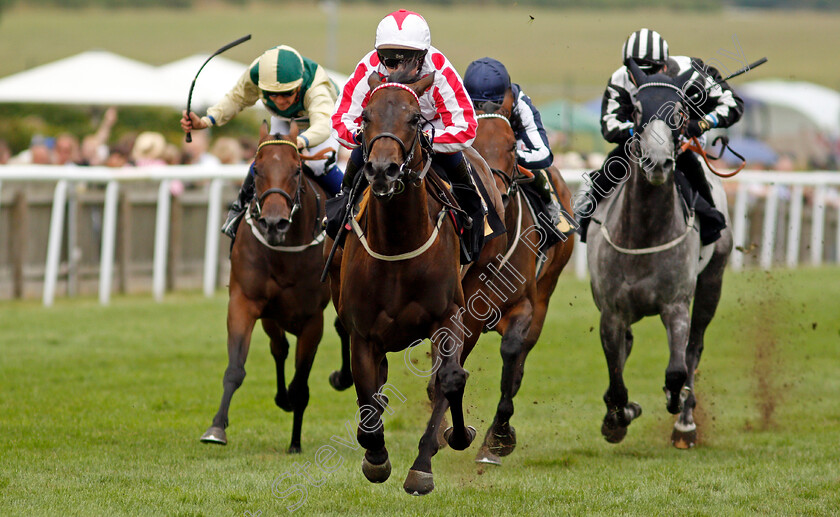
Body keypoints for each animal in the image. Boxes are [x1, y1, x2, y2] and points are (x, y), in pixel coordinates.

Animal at [202, 121, 336, 452]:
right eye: (257, 169)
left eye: (297, 170)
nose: (274, 223)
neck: (284, 252)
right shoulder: (245, 302)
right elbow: (235, 368)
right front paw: (216, 428)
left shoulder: (313, 319)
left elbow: (301, 383)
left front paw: (295, 441)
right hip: (272, 316)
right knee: (280, 348)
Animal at [326, 72, 486, 496]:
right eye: (365, 116)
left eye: (415, 119)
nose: (383, 170)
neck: (398, 242)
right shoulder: (363, 334)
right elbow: (367, 396)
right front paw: (375, 456)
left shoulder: (449, 317)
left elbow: (449, 380)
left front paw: (429, 460)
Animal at [462, 97, 576, 464]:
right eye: (472, 141)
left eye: (512, 145)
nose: (495, 195)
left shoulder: (523, 305)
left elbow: (512, 354)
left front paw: (497, 438)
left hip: (546, 291)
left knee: (521, 357)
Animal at [584, 61, 736, 448]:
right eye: (637, 111)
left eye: (680, 112)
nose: (658, 163)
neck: (644, 233)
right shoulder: (612, 311)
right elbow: (617, 377)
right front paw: (617, 417)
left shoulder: (675, 304)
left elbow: (677, 368)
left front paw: (676, 400)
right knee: (626, 347)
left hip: (713, 280)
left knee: (694, 348)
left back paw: (685, 423)